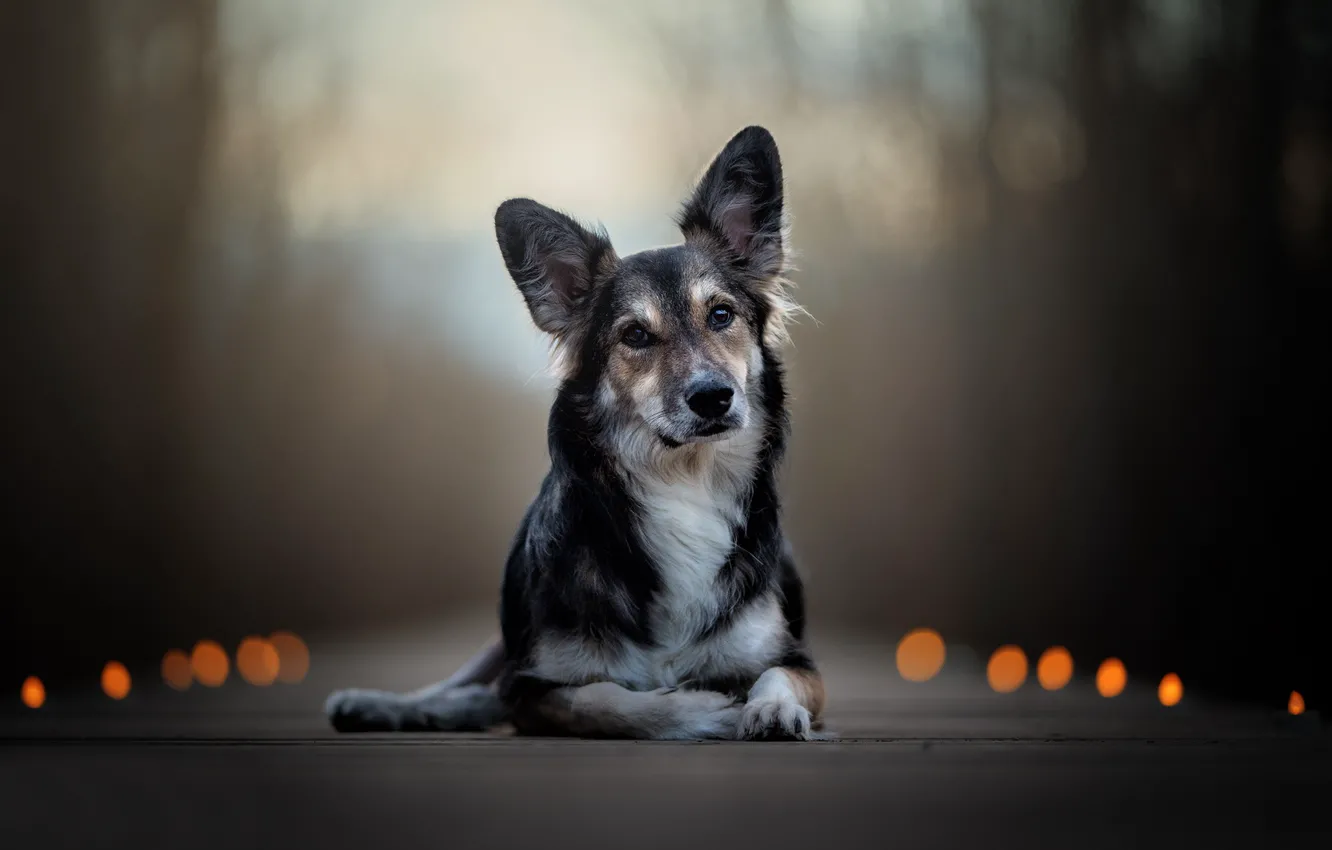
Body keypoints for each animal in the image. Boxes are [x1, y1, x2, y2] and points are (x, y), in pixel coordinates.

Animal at [325, 125, 820, 740]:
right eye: (635, 335)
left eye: (722, 315)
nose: (712, 397)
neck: (684, 485)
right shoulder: (535, 687)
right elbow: (612, 701)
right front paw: (704, 709)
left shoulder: (795, 660)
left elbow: (775, 675)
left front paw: (769, 708)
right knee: (467, 690)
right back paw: (375, 703)